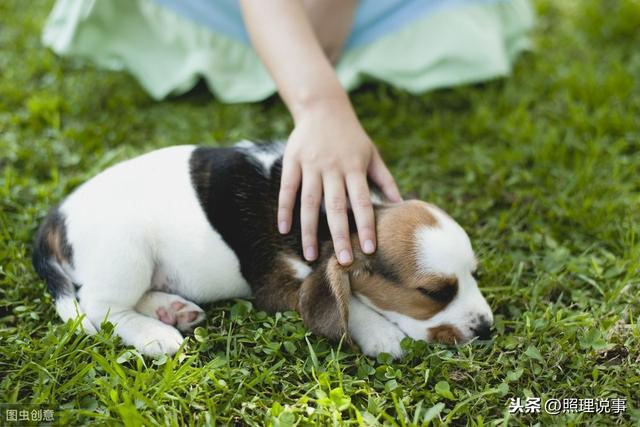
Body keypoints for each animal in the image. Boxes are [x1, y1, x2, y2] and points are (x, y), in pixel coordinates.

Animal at [32, 142, 492, 360]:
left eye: (475, 275)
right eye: (434, 293)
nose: (487, 328)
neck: (340, 217)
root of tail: (57, 215)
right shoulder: (276, 286)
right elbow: (350, 302)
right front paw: (380, 332)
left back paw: (170, 310)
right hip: (127, 251)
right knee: (99, 307)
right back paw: (154, 334)